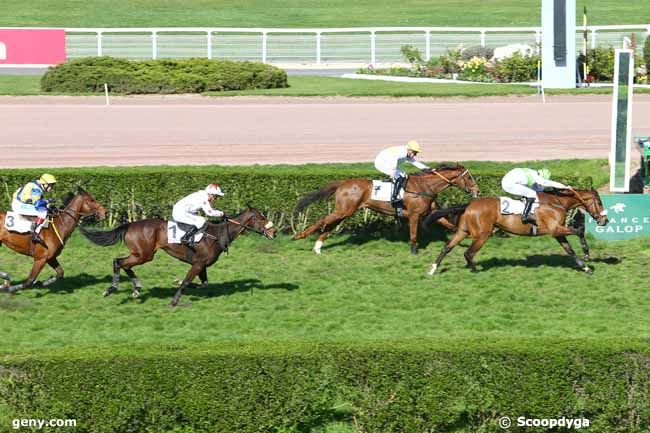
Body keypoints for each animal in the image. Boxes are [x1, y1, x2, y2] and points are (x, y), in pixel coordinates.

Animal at [79, 208, 274, 306]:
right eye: (261, 218)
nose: (273, 232)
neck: (217, 234)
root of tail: (129, 225)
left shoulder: (202, 265)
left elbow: (203, 284)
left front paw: (176, 282)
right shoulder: (198, 263)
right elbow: (188, 281)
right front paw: (174, 300)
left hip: (141, 254)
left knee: (124, 264)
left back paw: (136, 289)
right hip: (144, 255)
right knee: (119, 262)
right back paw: (111, 289)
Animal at [292, 165, 476, 253]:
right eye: (468, 177)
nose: (477, 190)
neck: (424, 187)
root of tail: (343, 183)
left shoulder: (429, 213)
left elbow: (449, 224)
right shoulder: (414, 215)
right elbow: (413, 234)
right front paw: (414, 250)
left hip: (345, 211)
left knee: (330, 225)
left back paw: (317, 247)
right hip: (344, 210)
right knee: (323, 220)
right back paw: (299, 235)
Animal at [426, 187, 608, 276]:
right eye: (599, 202)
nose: (605, 221)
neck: (557, 202)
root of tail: (469, 204)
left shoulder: (558, 232)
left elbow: (570, 250)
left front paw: (586, 268)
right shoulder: (556, 229)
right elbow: (580, 231)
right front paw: (586, 254)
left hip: (463, 231)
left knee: (447, 247)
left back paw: (433, 269)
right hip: (483, 234)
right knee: (468, 253)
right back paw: (475, 270)